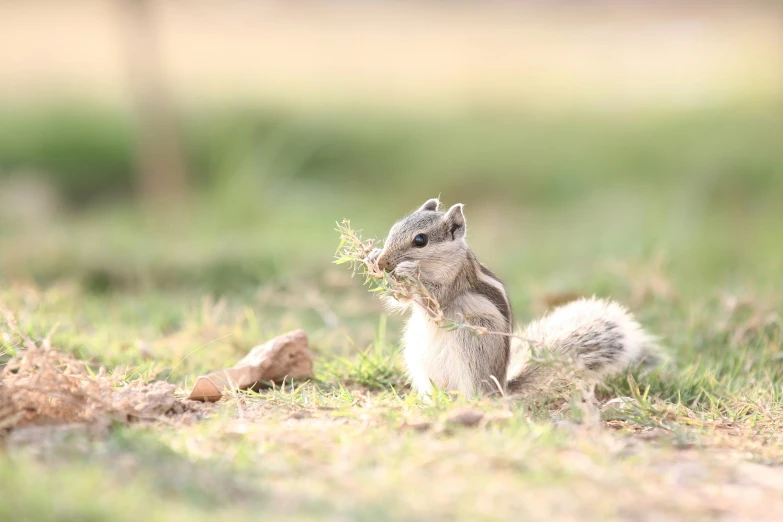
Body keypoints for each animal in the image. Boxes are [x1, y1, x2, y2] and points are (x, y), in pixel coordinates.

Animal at [370, 197, 660, 396]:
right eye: (394, 228)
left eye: (420, 240)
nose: (384, 263)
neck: (442, 260)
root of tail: (501, 389)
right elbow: (402, 301)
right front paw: (372, 256)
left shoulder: (455, 280)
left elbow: (436, 300)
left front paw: (409, 272)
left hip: (472, 344)